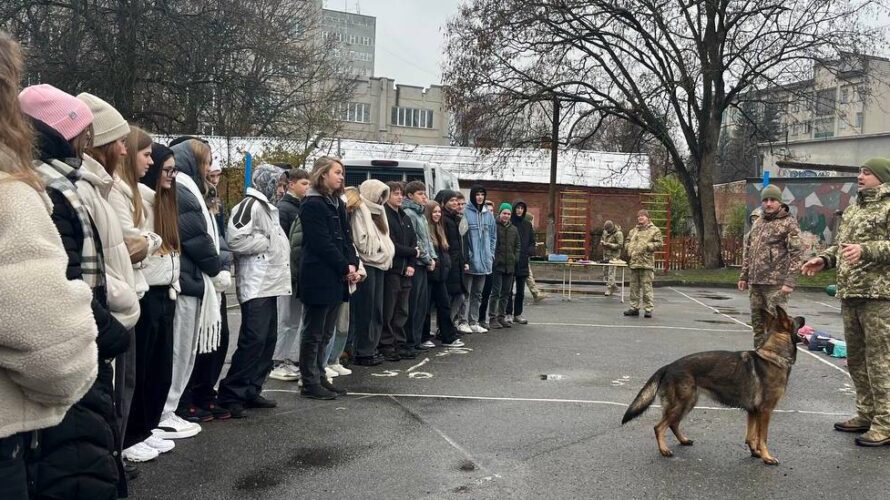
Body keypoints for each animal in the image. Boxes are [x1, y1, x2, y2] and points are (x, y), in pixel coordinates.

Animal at [620, 306, 800, 466]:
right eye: (795, 320)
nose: (803, 318)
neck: (773, 355)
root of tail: (668, 366)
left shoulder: (753, 412)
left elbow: (751, 436)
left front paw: (755, 452)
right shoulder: (765, 411)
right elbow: (763, 437)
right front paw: (767, 457)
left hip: (688, 403)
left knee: (672, 424)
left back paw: (683, 440)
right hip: (682, 403)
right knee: (659, 427)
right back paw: (664, 450)